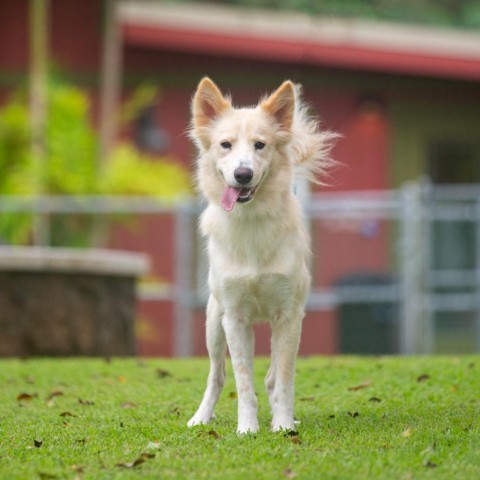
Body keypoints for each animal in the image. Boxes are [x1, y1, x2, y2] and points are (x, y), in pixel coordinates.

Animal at [186, 79, 336, 436]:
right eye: (225, 145)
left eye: (260, 145)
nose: (242, 174)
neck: (251, 220)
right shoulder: (235, 318)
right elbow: (242, 382)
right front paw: (247, 428)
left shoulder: (288, 316)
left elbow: (282, 380)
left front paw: (282, 424)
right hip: (213, 324)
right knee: (217, 376)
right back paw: (201, 417)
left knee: (271, 378)